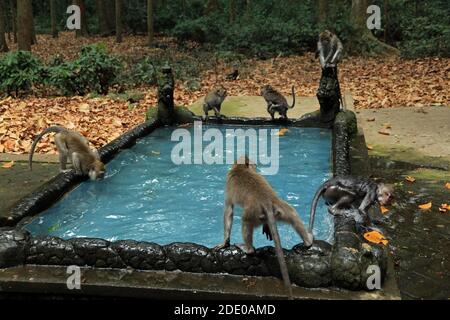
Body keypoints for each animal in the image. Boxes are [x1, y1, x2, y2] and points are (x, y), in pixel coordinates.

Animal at [214, 156, 312, 298]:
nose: (255, 167)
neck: (240, 168)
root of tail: (267, 201)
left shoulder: (228, 184)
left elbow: (228, 210)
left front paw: (225, 242)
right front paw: (266, 227)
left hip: (253, 214)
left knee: (246, 220)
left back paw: (248, 249)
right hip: (281, 210)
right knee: (293, 214)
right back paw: (308, 241)